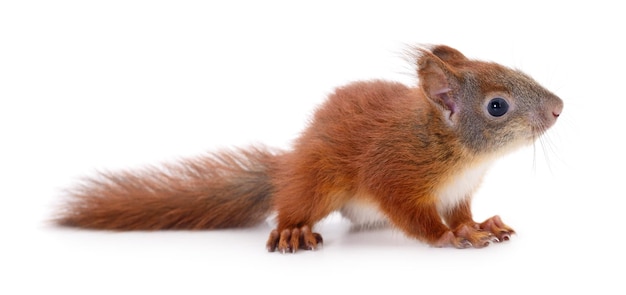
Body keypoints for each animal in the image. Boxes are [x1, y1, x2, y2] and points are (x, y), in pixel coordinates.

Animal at [54, 45, 560, 253]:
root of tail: (291, 164)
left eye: (511, 67)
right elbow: (414, 216)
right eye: (497, 106)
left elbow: (460, 212)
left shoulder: (458, 192)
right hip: (319, 182)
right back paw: (293, 231)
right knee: (293, 206)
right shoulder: (396, 171)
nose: (558, 108)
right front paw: (450, 237)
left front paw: (478, 225)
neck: (459, 152)